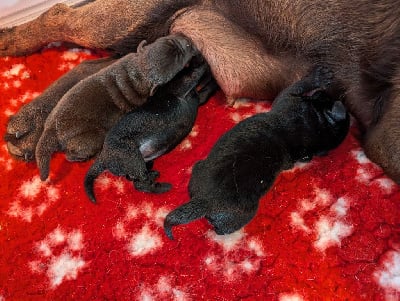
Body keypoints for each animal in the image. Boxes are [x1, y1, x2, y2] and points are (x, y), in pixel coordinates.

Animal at [34, 35, 198, 180]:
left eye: (170, 39)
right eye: (179, 60)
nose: (189, 41)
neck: (138, 72)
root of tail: (50, 130)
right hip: (91, 139)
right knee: (71, 156)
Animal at [84, 58, 219, 202]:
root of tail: (103, 157)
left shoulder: (197, 97)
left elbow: (205, 88)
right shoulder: (185, 85)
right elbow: (199, 76)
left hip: (141, 161)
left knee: (135, 179)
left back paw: (152, 176)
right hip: (132, 156)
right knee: (140, 184)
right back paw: (162, 187)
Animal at [162, 66, 350, 239]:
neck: (314, 127)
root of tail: (204, 200)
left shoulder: (288, 99)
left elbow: (298, 84)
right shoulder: (290, 101)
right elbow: (300, 84)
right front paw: (321, 75)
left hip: (237, 212)